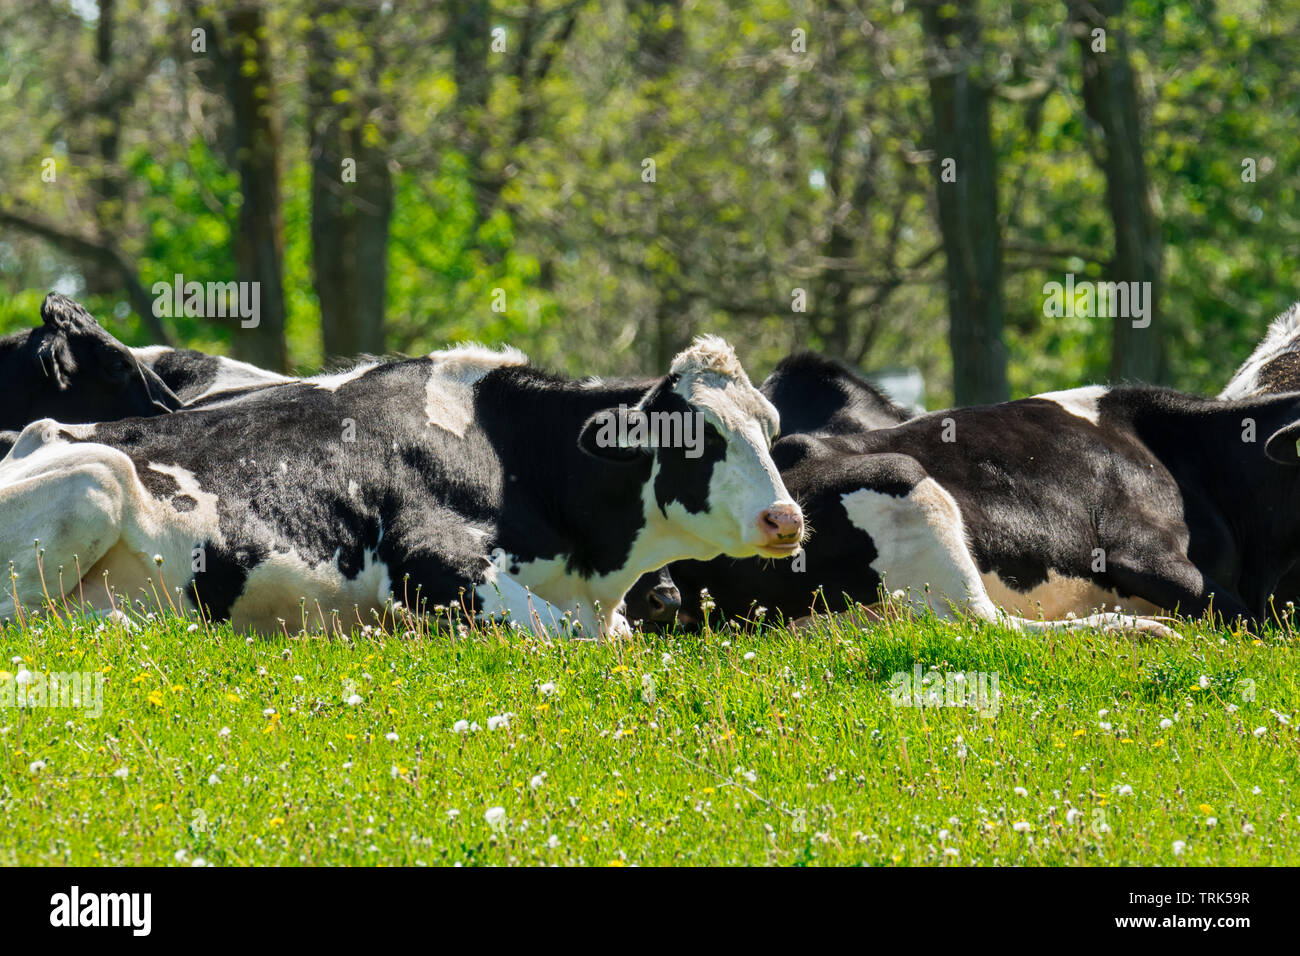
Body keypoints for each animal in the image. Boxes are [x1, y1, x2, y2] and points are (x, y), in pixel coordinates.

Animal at [0, 336, 803, 637]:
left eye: (769, 427)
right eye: (699, 437)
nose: (785, 518)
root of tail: (32, 432)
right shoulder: (426, 564)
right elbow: (560, 633)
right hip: (98, 476)